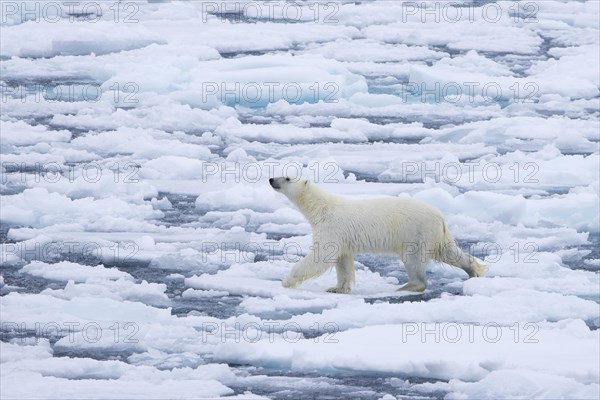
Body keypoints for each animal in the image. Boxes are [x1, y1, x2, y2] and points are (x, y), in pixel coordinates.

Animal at [270, 177, 486, 294]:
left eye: (287, 177)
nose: (271, 179)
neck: (321, 208)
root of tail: (440, 216)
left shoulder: (331, 228)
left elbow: (320, 257)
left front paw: (286, 281)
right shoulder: (342, 238)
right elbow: (343, 263)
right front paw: (338, 288)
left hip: (415, 232)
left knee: (413, 260)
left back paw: (407, 286)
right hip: (434, 234)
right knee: (448, 252)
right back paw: (474, 270)